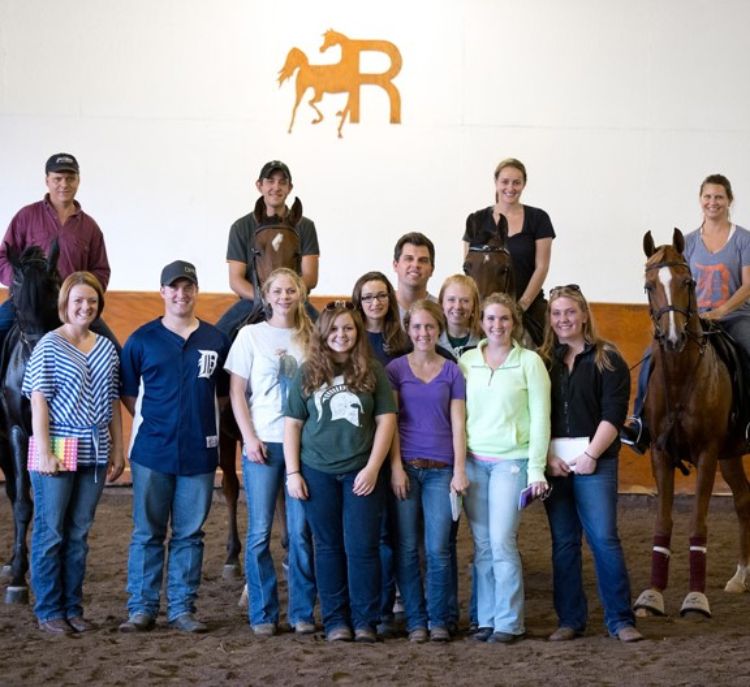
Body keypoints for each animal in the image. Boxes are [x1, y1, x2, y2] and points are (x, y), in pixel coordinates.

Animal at [636, 230, 750, 620]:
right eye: (649, 286)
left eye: (688, 282)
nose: (673, 339)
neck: (681, 375)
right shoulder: (660, 453)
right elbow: (662, 523)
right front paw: (652, 596)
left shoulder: (707, 454)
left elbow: (698, 523)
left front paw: (696, 599)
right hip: (731, 457)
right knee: (743, 499)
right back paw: (741, 577)